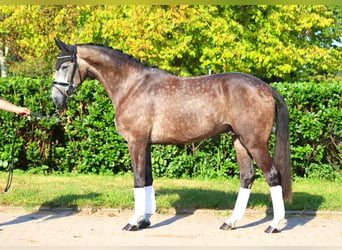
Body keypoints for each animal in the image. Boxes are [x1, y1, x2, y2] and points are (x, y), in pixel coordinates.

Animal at [50, 39, 292, 232]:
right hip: (239, 141)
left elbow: (138, 179)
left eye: (65, 66)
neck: (131, 85)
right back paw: (230, 222)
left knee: (272, 175)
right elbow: (148, 178)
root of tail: (265, 87)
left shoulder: (136, 142)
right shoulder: (145, 144)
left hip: (255, 142)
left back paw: (274, 225)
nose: (56, 99)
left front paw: (133, 221)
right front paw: (145, 220)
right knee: (247, 177)